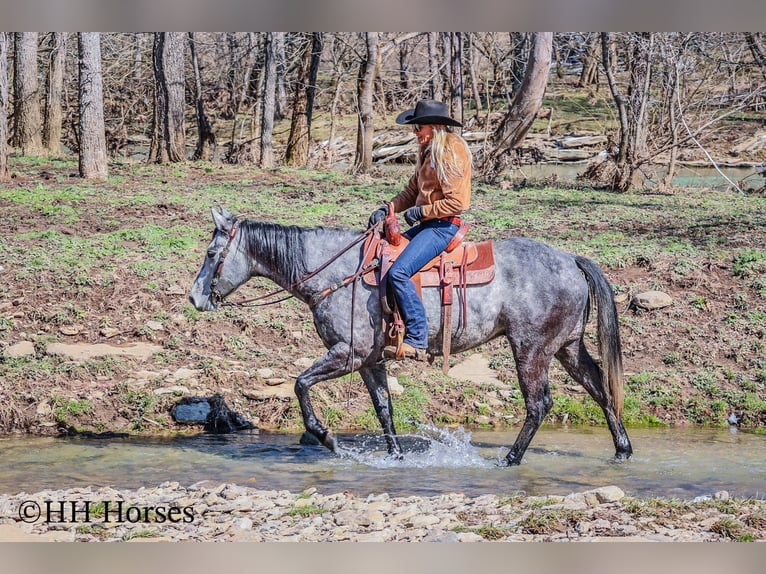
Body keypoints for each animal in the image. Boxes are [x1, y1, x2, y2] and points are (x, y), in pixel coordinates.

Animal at [188, 206, 633, 466]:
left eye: (211, 254)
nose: (195, 297)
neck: (339, 272)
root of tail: (571, 259)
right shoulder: (370, 361)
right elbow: (383, 408)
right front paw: (396, 456)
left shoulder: (347, 354)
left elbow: (300, 384)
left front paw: (327, 438)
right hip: (567, 348)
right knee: (601, 389)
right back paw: (622, 450)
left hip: (531, 349)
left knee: (539, 404)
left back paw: (509, 459)